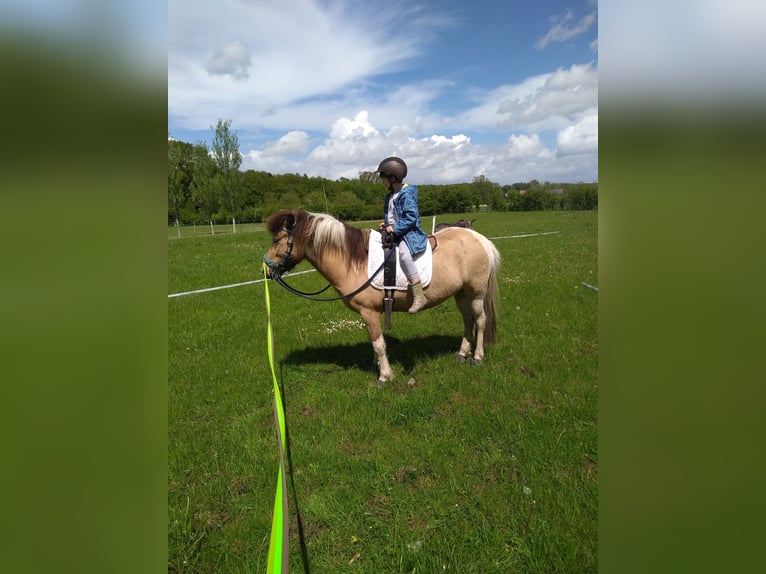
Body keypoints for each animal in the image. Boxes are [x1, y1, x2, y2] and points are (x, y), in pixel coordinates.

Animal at [264, 209, 504, 390]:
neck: (354, 261)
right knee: (468, 321)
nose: (266, 269)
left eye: (276, 239)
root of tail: (481, 239)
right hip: (461, 294)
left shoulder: (369, 312)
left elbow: (379, 344)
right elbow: (374, 343)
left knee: (480, 321)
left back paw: (477, 357)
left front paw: (384, 376)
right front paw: (378, 367)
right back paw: (462, 353)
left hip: (476, 293)